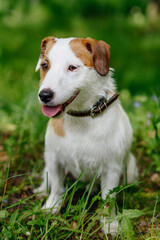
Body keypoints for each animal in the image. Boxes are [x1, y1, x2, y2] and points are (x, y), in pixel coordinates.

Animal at [34, 36, 138, 235]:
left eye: (72, 67)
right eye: (44, 65)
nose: (44, 95)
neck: (80, 118)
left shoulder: (111, 169)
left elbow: (108, 200)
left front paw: (110, 224)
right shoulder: (53, 159)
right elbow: (57, 186)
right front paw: (51, 207)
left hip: (129, 169)